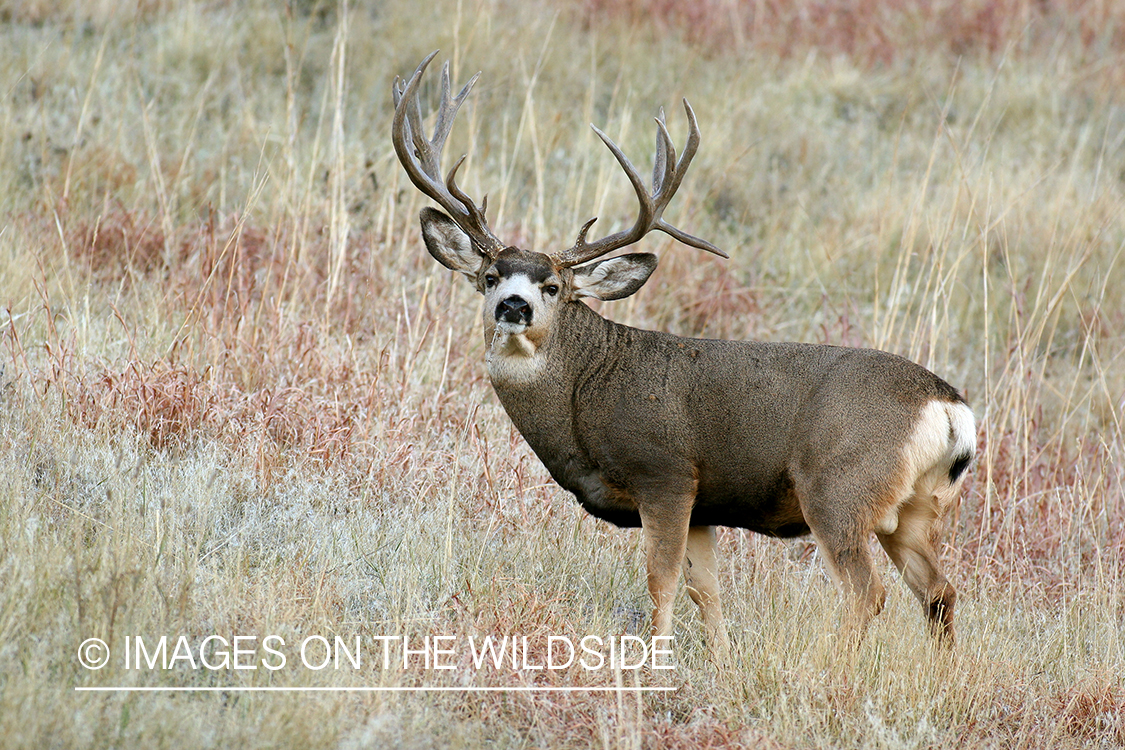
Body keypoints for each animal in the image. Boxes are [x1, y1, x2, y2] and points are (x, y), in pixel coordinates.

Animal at [392, 52, 976, 657]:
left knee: (868, 593)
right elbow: (706, 592)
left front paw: (655, 661)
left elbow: (662, 581)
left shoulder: (666, 473)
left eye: (553, 286)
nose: (514, 305)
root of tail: (949, 407)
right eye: (489, 276)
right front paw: (720, 660)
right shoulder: (703, 504)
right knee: (940, 590)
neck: (583, 394)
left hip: (839, 489)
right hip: (913, 509)